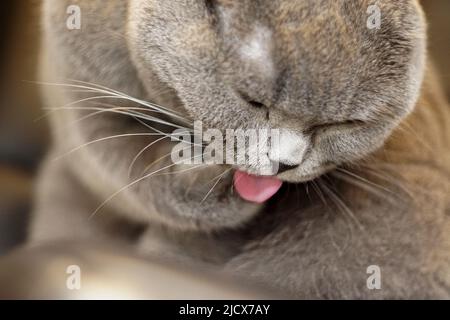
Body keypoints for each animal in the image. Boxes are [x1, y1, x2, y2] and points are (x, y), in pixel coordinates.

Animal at [29, 0, 448, 300]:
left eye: (340, 125)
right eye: (253, 101)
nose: (284, 162)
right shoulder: (78, 90)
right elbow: (117, 166)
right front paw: (205, 179)